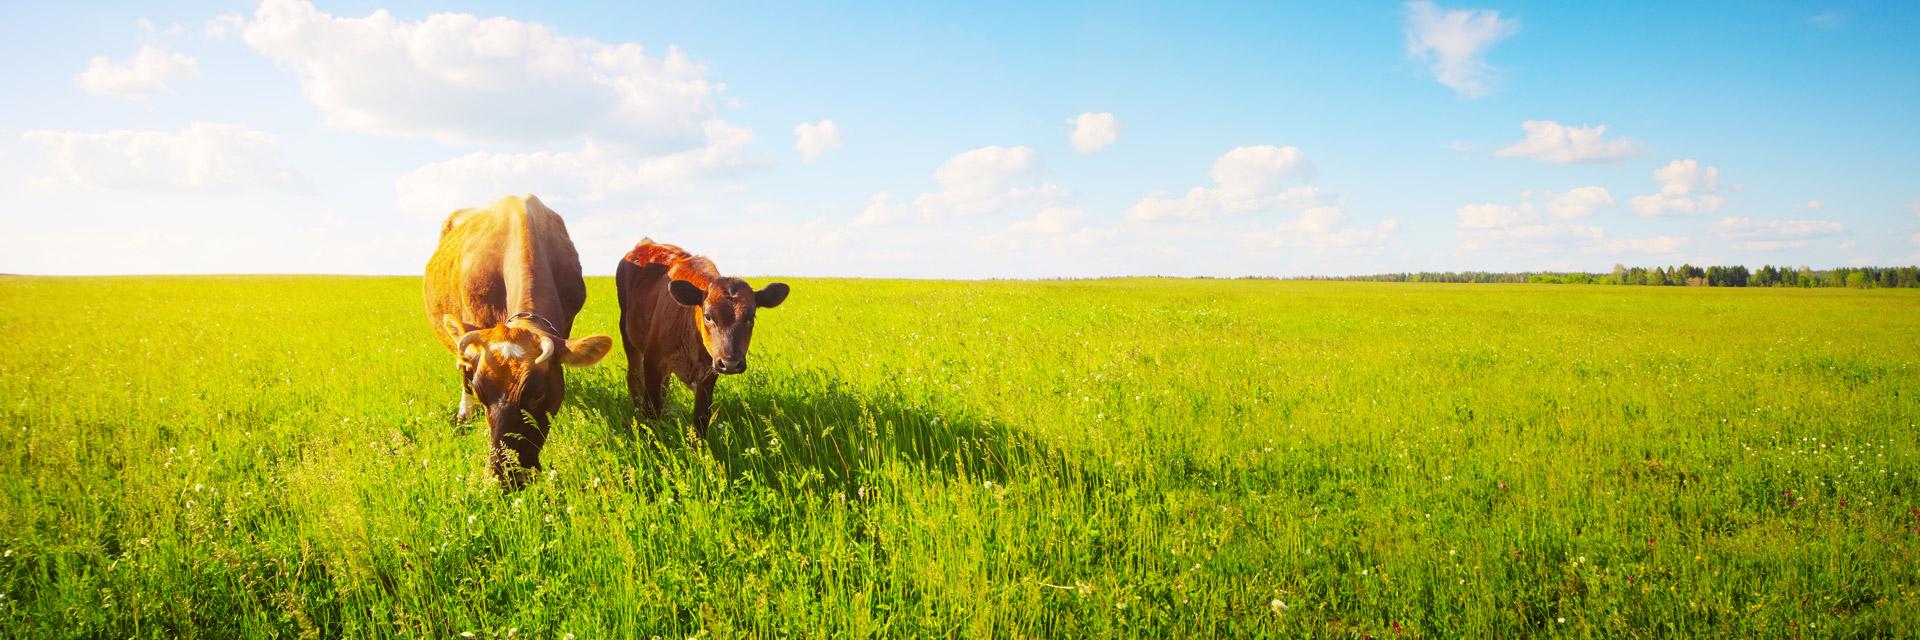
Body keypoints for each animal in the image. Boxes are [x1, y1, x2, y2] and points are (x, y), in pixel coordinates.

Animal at [618, 236, 791, 436]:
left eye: (751, 317)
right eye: (707, 316)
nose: (731, 363)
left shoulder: (710, 373)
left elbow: (700, 418)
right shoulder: (653, 362)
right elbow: (651, 411)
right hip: (629, 339)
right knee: (634, 378)